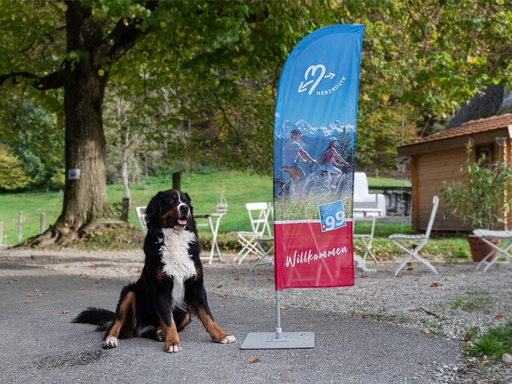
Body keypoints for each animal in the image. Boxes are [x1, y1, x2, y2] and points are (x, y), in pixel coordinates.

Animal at [73, 189, 237, 354]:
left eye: (185, 201)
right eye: (171, 201)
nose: (185, 208)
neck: (175, 239)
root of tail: (139, 326)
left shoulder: (195, 286)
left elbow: (207, 315)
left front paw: (221, 335)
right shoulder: (160, 289)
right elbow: (168, 319)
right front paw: (172, 343)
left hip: (184, 313)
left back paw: (158, 333)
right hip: (130, 293)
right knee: (118, 324)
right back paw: (111, 339)